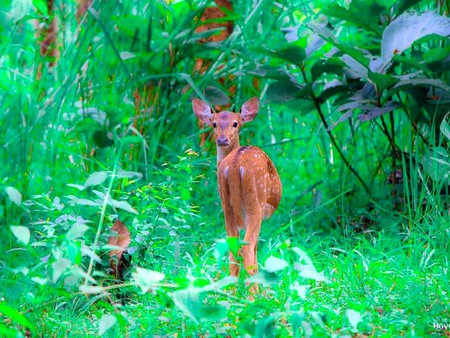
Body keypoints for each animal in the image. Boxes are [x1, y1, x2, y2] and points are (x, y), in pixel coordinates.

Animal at [191, 96, 282, 290]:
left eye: (235, 123)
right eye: (214, 124)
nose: (222, 139)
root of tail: (234, 164)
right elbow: (254, 250)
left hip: (226, 205)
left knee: (232, 246)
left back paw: (230, 293)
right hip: (255, 204)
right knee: (247, 248)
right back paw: (254, 294)